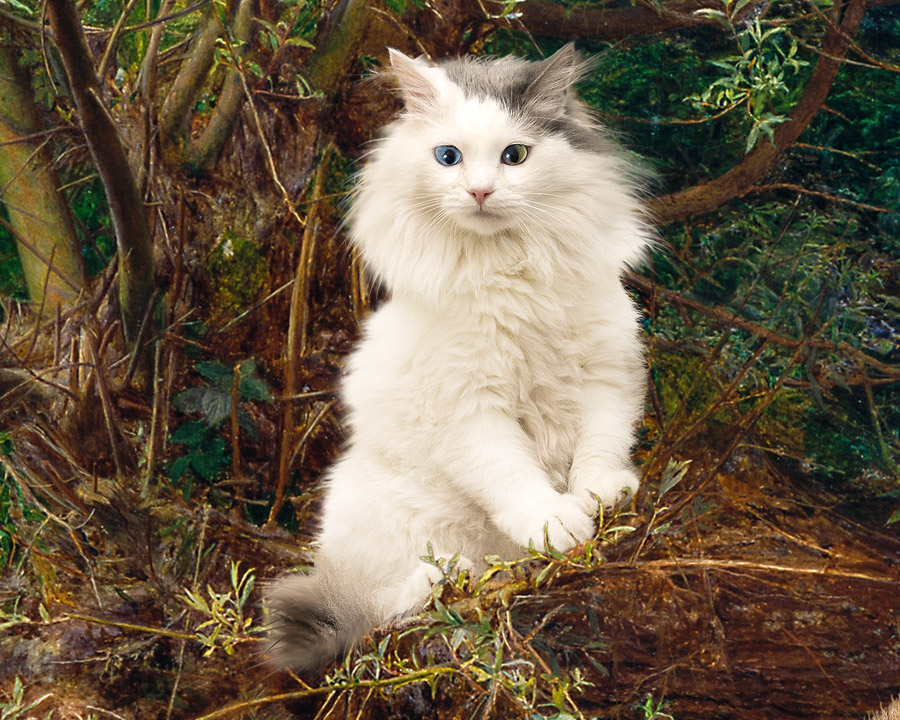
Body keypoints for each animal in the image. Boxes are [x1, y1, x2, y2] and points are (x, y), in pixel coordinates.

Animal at [264, 42, 652, 668]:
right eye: (448, 157)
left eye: (514, 156)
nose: (480, 192)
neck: (511, 273)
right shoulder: (469, 411)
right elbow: (513, 477)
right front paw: (555, 524)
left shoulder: (607, 375)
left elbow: (599, 448)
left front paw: (599, 496)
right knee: (373, 615)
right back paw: (444, 580)